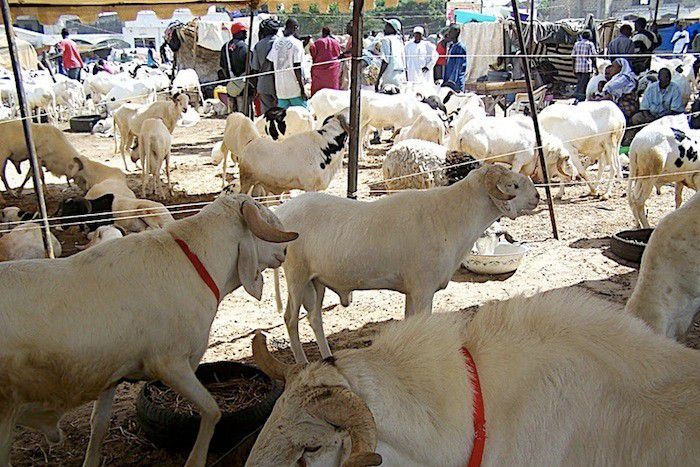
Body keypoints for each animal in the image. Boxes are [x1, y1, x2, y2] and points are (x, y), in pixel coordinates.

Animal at [0, 193, 298, 467]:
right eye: (267, 218)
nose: (285, 252)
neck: (197, 264)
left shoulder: (112, 372)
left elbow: (99, 425)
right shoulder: (170, 363)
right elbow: (212, 411)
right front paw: (195, 461)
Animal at [274, 164, 540, 362]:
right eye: (514, 185)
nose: (537, 196)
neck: (452, 217)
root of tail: (280, 213)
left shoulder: (412, 290)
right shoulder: (423, 289)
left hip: (316, 281)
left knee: (314, 318)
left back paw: (327, 356)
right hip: (296, 275)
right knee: (290, 319)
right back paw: (302, 362)